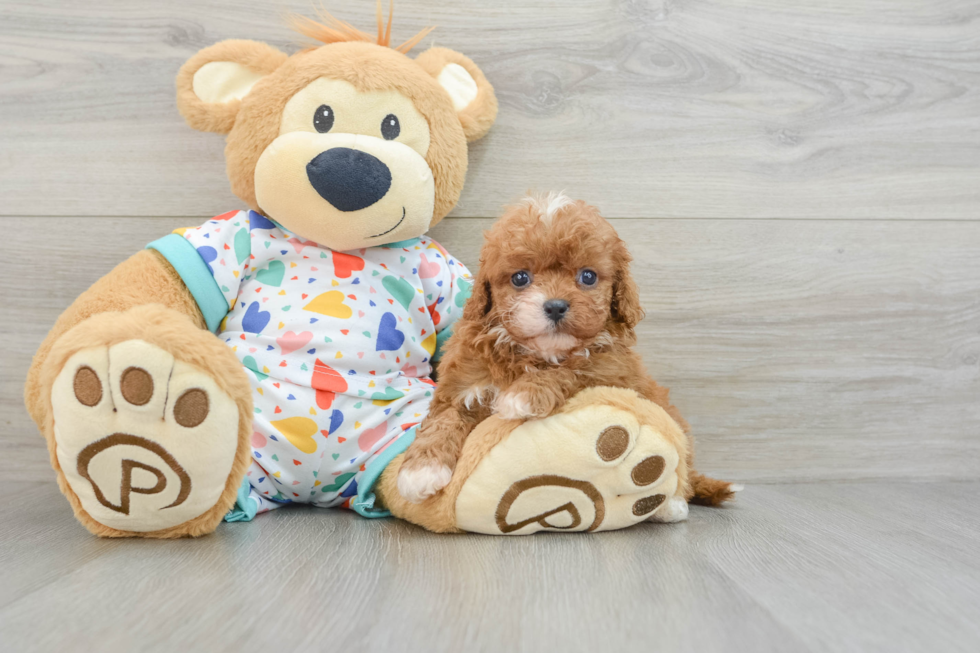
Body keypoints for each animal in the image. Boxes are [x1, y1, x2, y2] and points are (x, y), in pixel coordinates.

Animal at [398, 191, 736, 506]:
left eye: (587, 276)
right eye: (520, 277)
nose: (556, 306)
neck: (534, 353)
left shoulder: (610, 372)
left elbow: (573, 369)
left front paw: (524, 395)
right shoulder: (462, 386)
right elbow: (444, 418)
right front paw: (420, 471)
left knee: (684, 479)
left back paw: (673, 504)